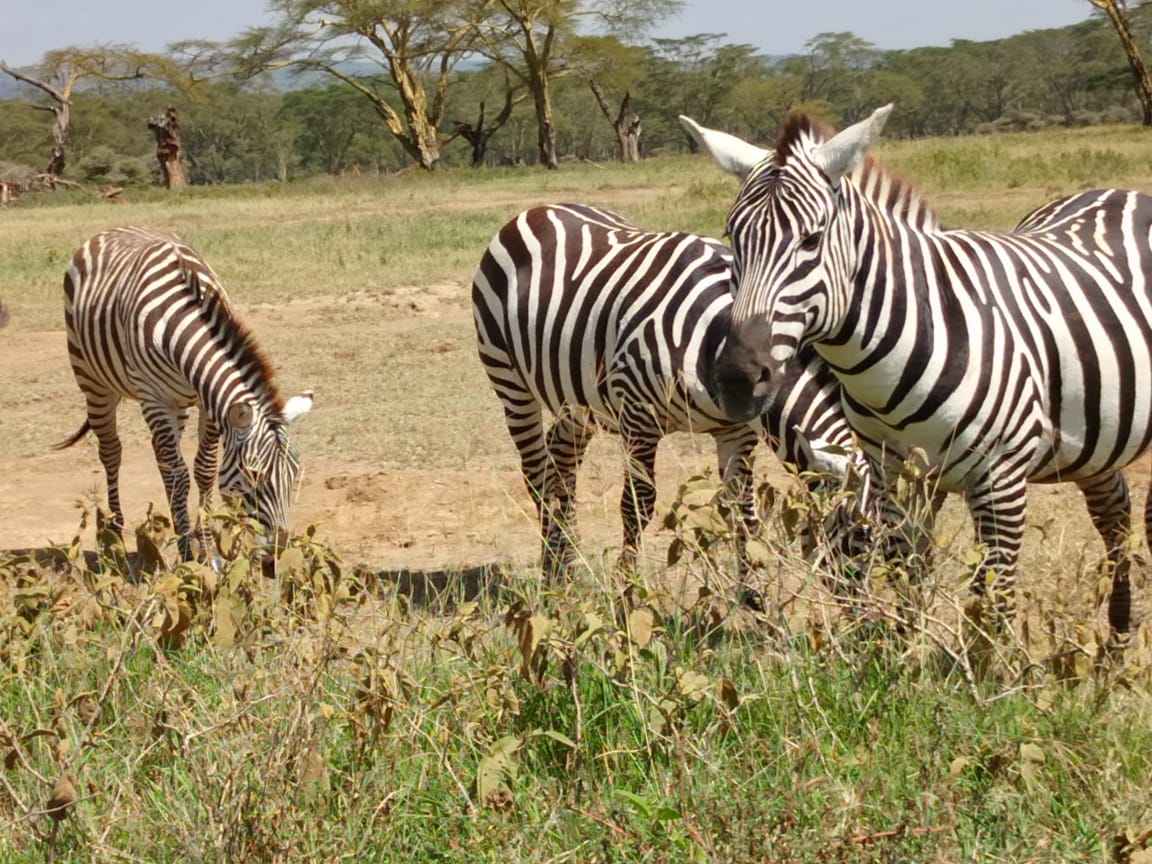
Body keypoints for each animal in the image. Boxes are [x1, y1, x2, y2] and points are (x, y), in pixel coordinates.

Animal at [58, 226, 312, 568]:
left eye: (294, 473)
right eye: (253, 474)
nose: (277, 556)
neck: (182, 324)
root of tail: (111, 229)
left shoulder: (208, 403)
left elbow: (203, 469)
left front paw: (203, 547)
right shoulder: (154, 398)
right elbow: (180, 477)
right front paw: (191, 554)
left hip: (176, 404)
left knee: (163, 459)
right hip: (93, 382)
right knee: (112, 452)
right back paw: (113, 535)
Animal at [472, 203, 865, 588]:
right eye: (860, 532)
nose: (867, 609)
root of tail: (535, 210)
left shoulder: (737, 432)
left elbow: (743, 514)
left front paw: (754, 602)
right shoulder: (637, 417)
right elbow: (636, 508)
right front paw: (628, 594)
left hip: (575, 399)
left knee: (562, 463)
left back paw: (568, 563)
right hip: (510, 381)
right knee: (537, 474)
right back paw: (553, 574)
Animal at [704, 103, 1152, 637]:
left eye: (811, 240)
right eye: (732, 237)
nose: (736, 378)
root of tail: (1119, 191)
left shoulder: (1000, 479)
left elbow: (994, 603)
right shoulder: (898, 472)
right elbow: (910, 573)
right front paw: (905, 650)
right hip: (1096, 432)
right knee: (1114, 511)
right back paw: (1118, 635)